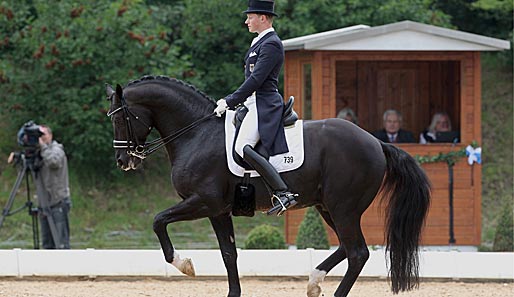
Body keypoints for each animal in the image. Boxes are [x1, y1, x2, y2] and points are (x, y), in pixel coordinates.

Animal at [106, 75, 430, 296]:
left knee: (357, 253)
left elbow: (158, 220)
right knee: (347, 248)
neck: (197, 134)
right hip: (328, 207)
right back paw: (314, 282)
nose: (123, 160)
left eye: (120, 119)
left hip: (344, 209)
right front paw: (232, 292)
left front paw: (183, 263)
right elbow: (229, 254)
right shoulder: (218, 211)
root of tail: (376, 141)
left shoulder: (203, 202)